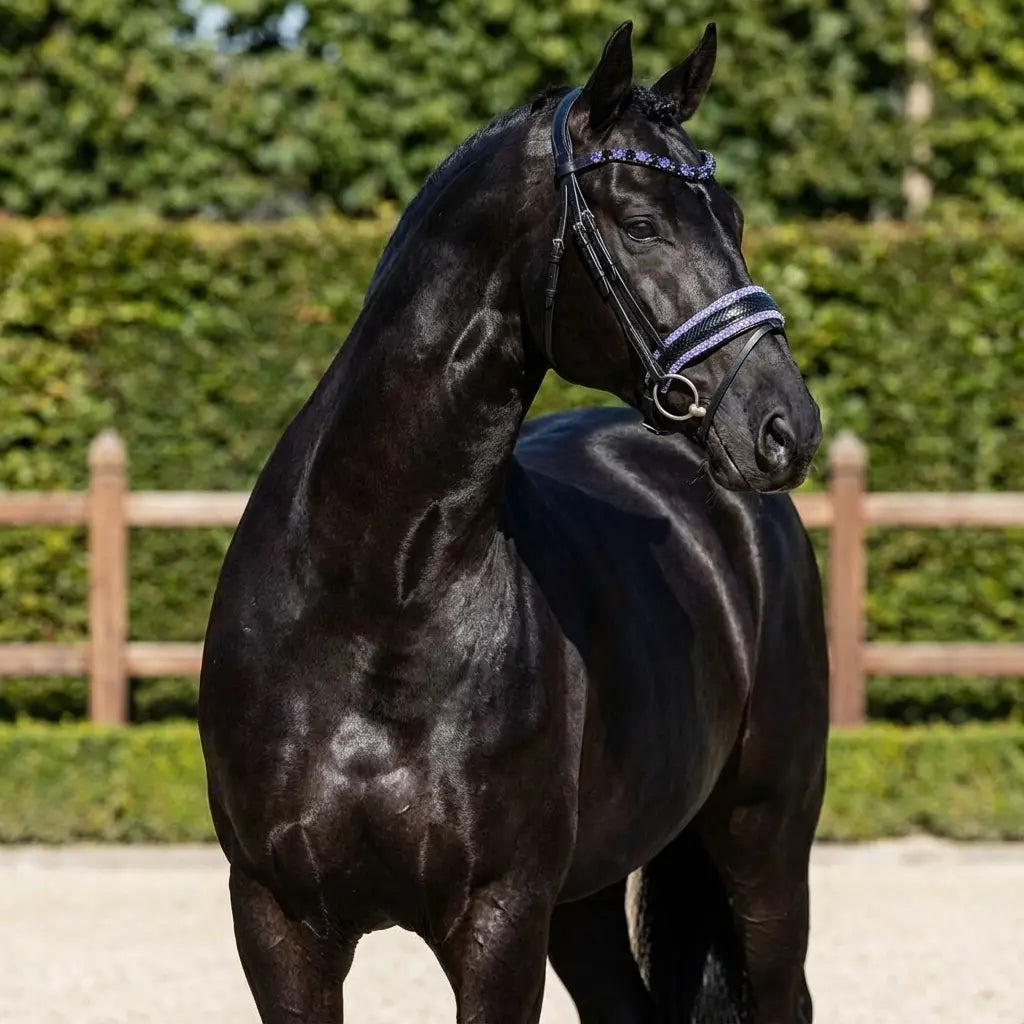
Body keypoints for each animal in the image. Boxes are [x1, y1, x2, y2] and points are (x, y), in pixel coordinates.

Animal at [199, 21, 828, 1024]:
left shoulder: (499, 919)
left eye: (731, 219)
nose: (784, 426)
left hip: (763, 843)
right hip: (588, 896)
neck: (373, 592)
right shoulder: (278, 923)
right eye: (642, 224)